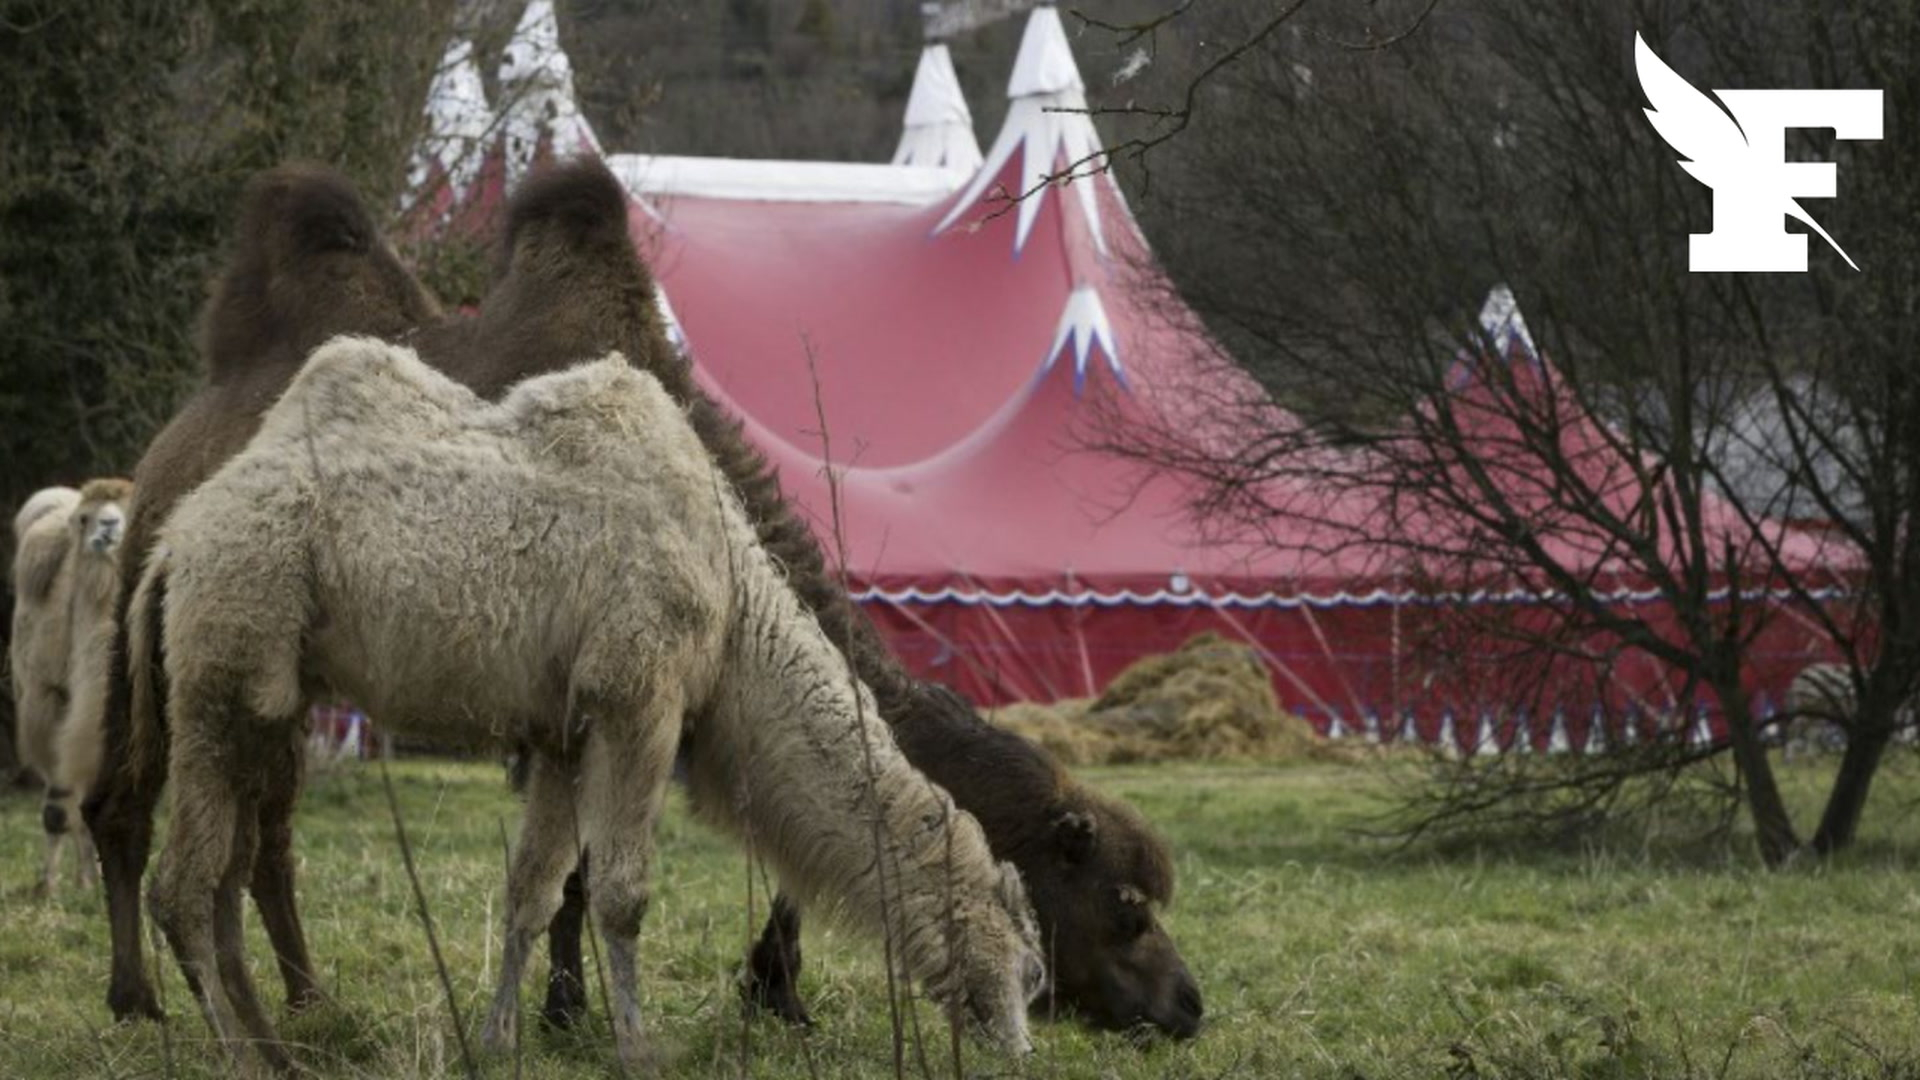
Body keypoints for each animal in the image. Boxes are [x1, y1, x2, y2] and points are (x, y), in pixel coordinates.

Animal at [137, 340, 1052, 1060]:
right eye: (1030, 966)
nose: (1022, 1047)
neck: (735, 610)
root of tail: (173, 538)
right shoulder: (639, 699)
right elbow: (621, 892)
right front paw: (637, 1045)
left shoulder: (562, 732)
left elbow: (532, 889)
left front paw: (499, 1038)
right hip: (226, 655)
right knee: (180, 883)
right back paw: (237, 1053)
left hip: (269, 695)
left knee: (223, 873)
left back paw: (273, 1045)